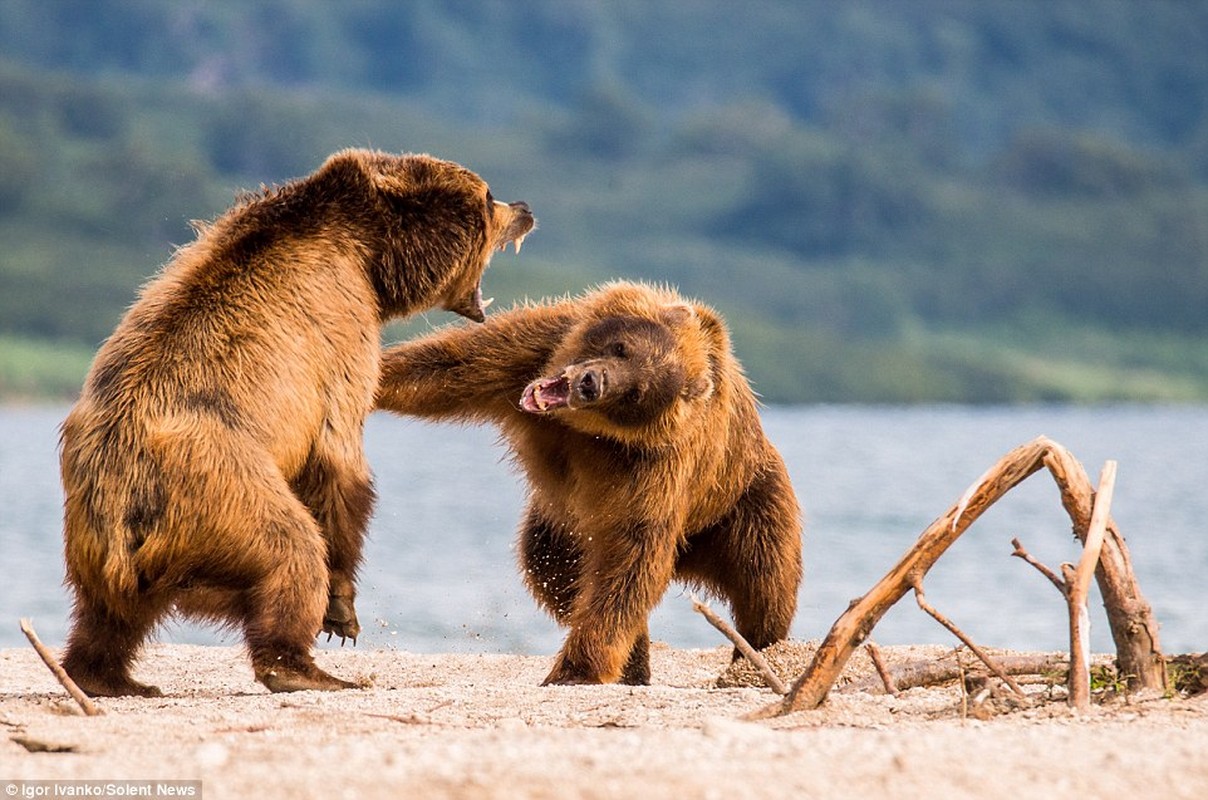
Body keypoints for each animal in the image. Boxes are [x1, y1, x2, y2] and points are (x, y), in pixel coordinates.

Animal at [57, 148, 533, 696]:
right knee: (291, 549)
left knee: (107, 617)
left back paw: (111, 678)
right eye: (488, 196)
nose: (525, 208)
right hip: (221, 491)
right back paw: (306, 670)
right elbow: (338, 461)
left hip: (91, 536)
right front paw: (342, 613)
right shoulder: (340, 327)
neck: (370, 253)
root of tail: (123, 509)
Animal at [376, 283, 802, 691]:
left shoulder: (656, 467)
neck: (584, 430)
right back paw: (637, 661)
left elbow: (631, 558)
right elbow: (446, 367)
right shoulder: (531, 350)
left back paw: (755, 662)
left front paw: (576, 670)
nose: (590, 382)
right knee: (551, 571)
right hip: (562, 529)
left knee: (765, 581)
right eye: (621, 347)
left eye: (636, 393)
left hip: (743, 502)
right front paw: (375, 379)